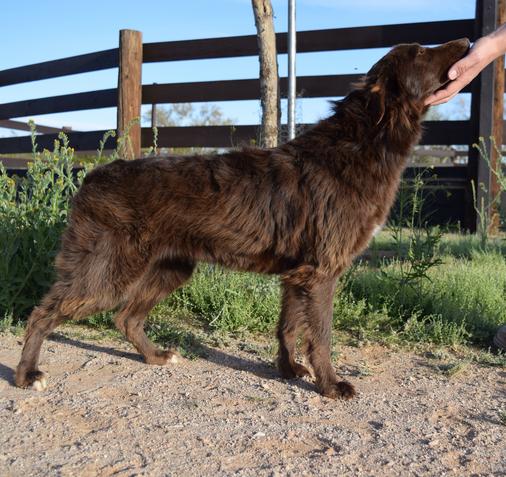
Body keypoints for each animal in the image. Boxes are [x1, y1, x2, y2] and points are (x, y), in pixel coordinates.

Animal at [15, 37, 470, 396]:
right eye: (420, 52)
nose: (467, 42)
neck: (361, 142)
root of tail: (92, 177)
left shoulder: (298, 275)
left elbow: (288, 328)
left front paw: (288, 370)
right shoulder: (320, 273)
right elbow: (321, 336)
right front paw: (329, 385)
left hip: (170, 269)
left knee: (125, 318)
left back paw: (155, 356)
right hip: (107, 275)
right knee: (43, 314)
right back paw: (26, 375)